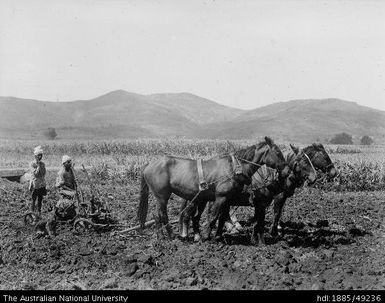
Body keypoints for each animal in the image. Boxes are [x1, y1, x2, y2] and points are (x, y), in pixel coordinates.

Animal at [136, 137, 290, 240]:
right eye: (277, 152)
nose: (287, 171)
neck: (234, 168)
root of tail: (149, 164)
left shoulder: (227, 199)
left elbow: (221, 218)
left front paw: (217, 235)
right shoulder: (221, 197)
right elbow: (214, 217)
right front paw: (206, 236)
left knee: (160, 215)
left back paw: (163, 235)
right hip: (162, 196)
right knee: (161, 215)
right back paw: (168, 235)